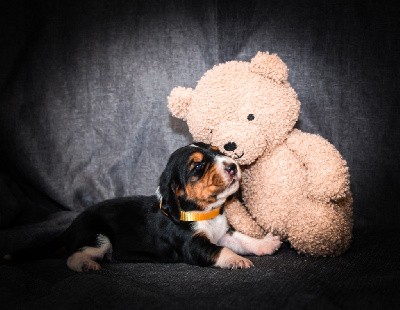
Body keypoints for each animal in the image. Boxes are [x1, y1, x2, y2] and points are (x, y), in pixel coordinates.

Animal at [64, 143, 280, 272]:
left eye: (218, 150)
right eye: (198, 166)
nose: (233, 166)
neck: (203, 213)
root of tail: (70, 228)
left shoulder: (223, 234)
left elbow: (243, 239)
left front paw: (267, 244)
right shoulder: (193, 245)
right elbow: (222, 251)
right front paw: (238, 260)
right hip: (98, 237)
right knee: (72, 258)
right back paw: (87, 265)